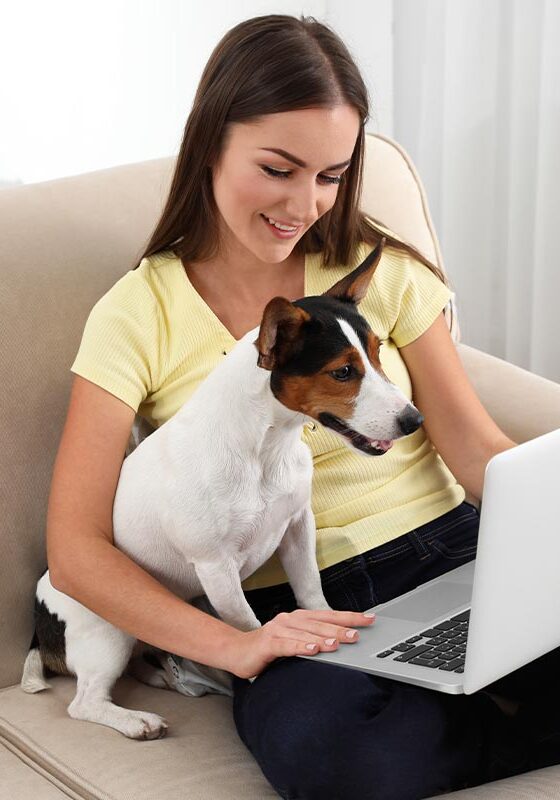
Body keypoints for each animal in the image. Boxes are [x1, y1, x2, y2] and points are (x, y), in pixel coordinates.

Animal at [21, 238, 424, 736]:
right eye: (343, 373)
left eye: (378, 351)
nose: (413, 420)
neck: (264, 447)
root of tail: (40, 613)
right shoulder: (216, 568)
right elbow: (247, 628)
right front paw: (266, 661)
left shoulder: (297, 526)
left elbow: (310, 589)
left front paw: (327, 618)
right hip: (107, 632)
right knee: (84, 702)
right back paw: (136, 720)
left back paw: (161, 675)